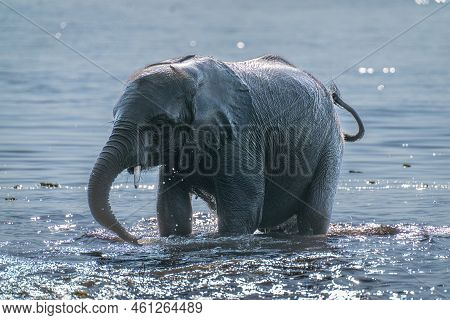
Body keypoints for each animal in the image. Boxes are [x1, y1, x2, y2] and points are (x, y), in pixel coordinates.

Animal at [87, 55, 362, 245]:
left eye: (160, 124)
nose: (137, 240)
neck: (189, 76)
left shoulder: (241, 135)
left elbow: (243, 211)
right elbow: (172, 208)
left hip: (329, 144)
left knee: (314, 216)